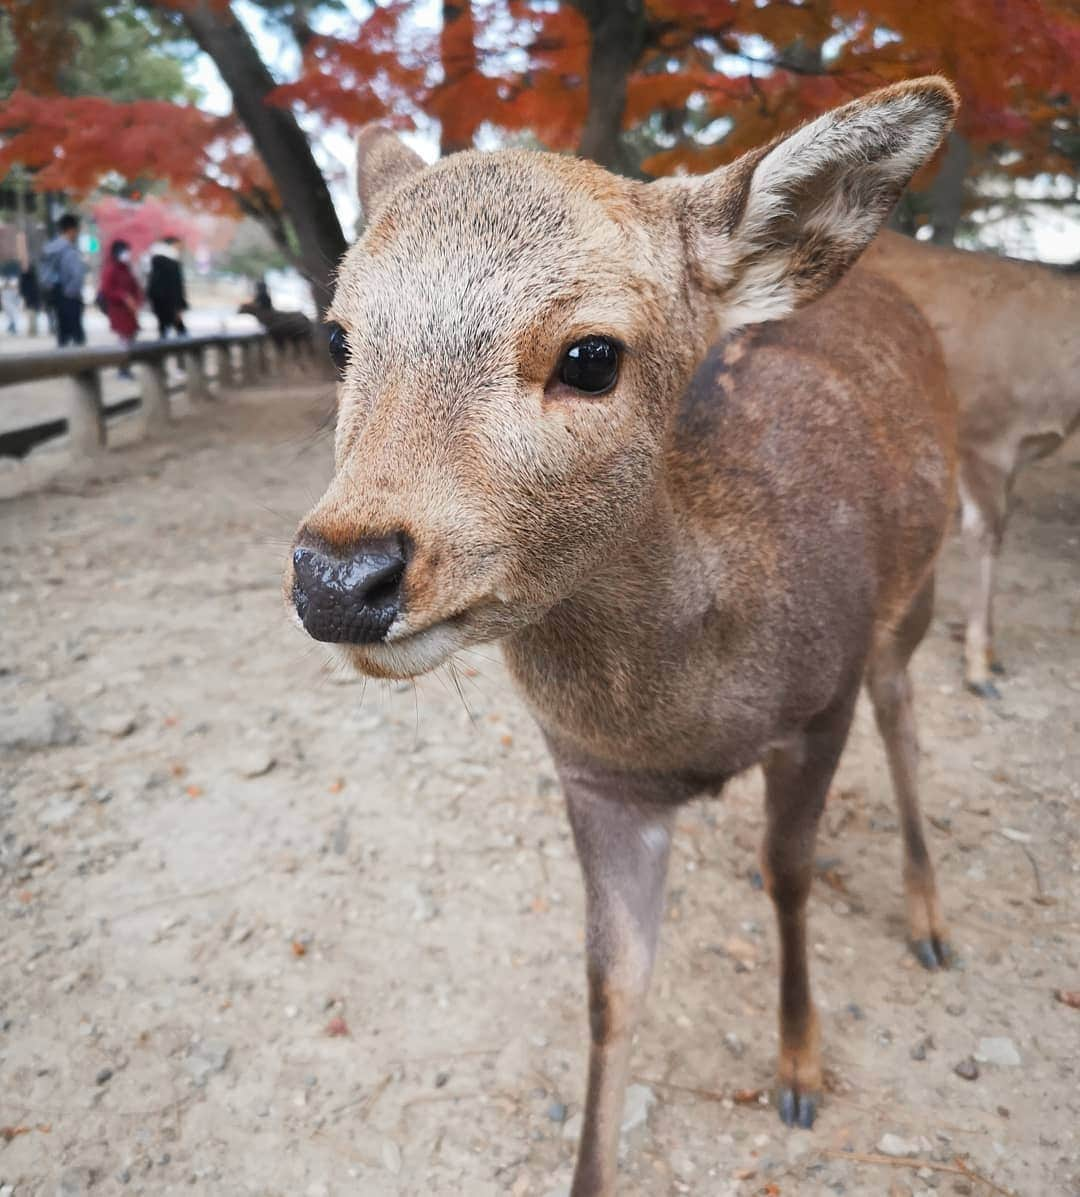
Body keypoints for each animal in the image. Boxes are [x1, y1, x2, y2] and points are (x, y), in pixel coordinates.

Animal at [284, 79, 962, 1192]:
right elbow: (612, 985)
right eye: (339, 337)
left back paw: (930, 923)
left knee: (905, 712)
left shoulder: (820, 699)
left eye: (591, 356)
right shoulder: (594, 778)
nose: (341, 576)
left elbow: (790, 875)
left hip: (915, 593)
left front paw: (800, 1072)